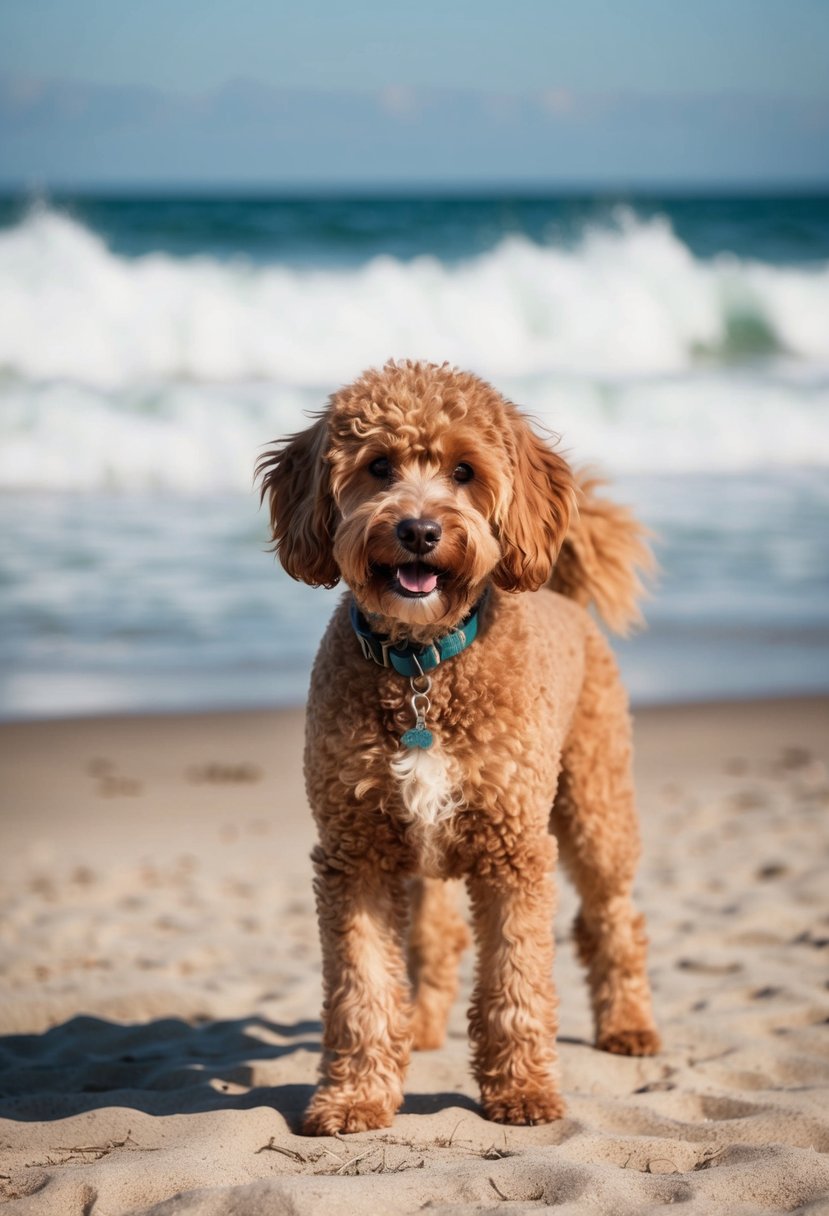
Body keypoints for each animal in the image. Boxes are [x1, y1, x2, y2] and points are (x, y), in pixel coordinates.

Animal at [257, 355, 656, 1133]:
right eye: (378, 467)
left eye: (464, 472)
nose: (416, 530)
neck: (422, 666)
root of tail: (565, 597)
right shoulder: (355, 853)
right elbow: (361, 990)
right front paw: (355, 1096)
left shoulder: (513, 850)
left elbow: (515, 979)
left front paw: (522, 1092)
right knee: (436, 941)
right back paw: (421, 1028)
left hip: (596, 804)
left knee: (612, 917)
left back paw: (627, 1025)